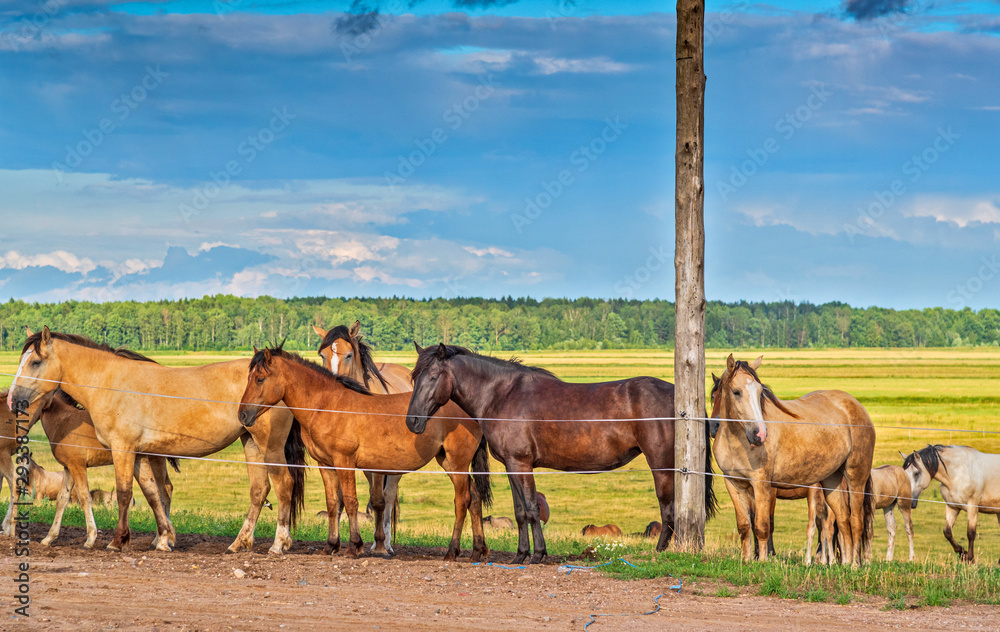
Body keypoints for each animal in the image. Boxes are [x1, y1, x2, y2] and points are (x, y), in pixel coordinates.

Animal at [7, 327, 305, 553]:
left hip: (270, 446)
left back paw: (278, 544)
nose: (12, 399)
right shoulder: (140, 454)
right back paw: (239, 542)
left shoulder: (123, 449)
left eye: (35, 362)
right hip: (251, 442)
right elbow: (153, 495)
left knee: (284, 485)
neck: (109, 382)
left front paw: (118, 540)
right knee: (259, 490)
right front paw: (163, 538)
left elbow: (124, 494)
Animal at [237, 345, 492, 561]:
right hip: (449, 461)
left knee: (462, 501)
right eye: (247, 378)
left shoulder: (345, 461)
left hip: (457, 463)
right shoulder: (325, 465)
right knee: (475, 499)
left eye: (260, 379)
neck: (328, 405)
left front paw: (354, 546)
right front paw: (330, 546)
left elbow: (351, 502)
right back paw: (478, 550)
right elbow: (333, 503)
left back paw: (452, 551)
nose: (242, 415)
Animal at [314, 321, 408, 553]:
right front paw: (335, 543)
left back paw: (386, 543)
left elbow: (378, 501)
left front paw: (379, 544)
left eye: (349, 355)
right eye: (322, 355)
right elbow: (338, 501)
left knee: (388, 497)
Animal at [405, 343, 717, 564]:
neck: (502, 395)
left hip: (662, 467)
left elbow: (531, 509)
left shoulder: (522, 464)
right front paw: (520, 554)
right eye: (414, 377)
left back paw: (660, 552)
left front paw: (538, 554)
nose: (412, 422)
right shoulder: (511, 466)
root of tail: (682, 400)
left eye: (433, 376)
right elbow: (520, 511)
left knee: (668, 510)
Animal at [710, 354, 875, 566]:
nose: (759, 434)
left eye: (760, 392)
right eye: (736, 392)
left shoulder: (762, 485)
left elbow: (762, 526)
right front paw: (746, 560)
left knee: (855, 521)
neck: (737, 441)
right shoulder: (733, 484)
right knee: (843, 521)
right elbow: (745, 526)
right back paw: (844, 564)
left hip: (856, 477)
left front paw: (763, 560)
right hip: (832, 481)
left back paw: (854, 565)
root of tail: (855, 405)